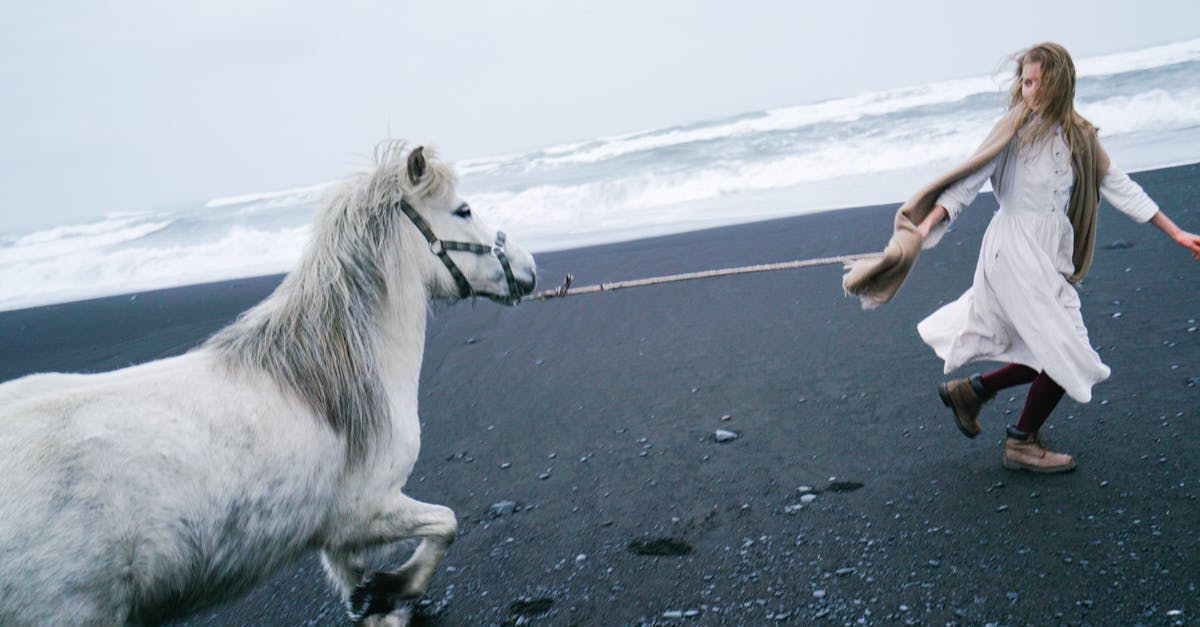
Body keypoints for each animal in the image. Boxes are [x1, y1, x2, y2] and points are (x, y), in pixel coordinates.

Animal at [0, 142, 536, 626]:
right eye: (463, 210)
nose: (530, 268)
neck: (326, 375)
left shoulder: (342, 539)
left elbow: (361, 584)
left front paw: (377, 602)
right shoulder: (365, 510)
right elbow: (446, 523)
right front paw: (392, 588)